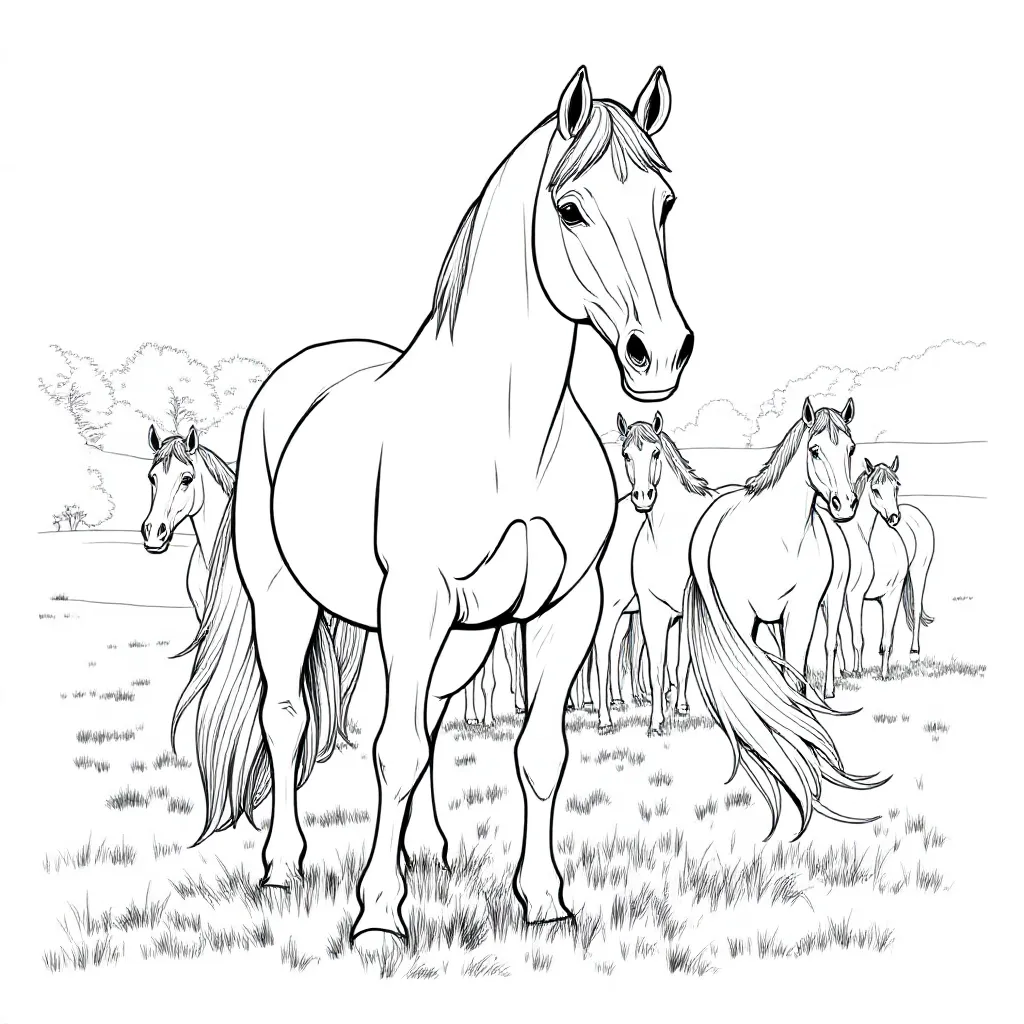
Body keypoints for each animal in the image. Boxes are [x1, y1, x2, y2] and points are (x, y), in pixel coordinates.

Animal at [172, 66, 693, 945]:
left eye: (665, 203)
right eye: (571, 208)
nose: (658, 354)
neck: (510, 435)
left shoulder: (565, 611)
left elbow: (537, 753)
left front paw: (543, 900)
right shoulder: (415, 602)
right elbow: (393, 751)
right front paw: (380, 915)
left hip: (460, 638)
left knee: (427, 721)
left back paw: (428, 850)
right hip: (284, 599)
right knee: (288, 717)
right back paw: (284, 865)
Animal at [620, 412, 719, 734]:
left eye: (655, 452)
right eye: (626, 454)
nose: (642, 497)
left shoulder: (689, 611)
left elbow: (682, 661)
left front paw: (682, 708)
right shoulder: (652, 612)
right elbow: (656, 668)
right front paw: (656, 722)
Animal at [684, 397, 885, 838]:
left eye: (850, 448)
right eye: (814, 450)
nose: (845, 506)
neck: (778, 538)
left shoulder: (801, 613)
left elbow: (792, 678)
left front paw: (801, 737)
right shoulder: (740, 618)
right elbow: (751, 682)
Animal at [842, 457, 935, 676]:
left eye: (896, 486)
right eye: (875, 490)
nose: (894, 518)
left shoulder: (890, 595)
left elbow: (886, 639)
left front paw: (883, 673)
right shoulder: (851, 597)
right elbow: (854, 637)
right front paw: (854, 671)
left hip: (919, 573)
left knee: (916, 610)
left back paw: (914, 653)